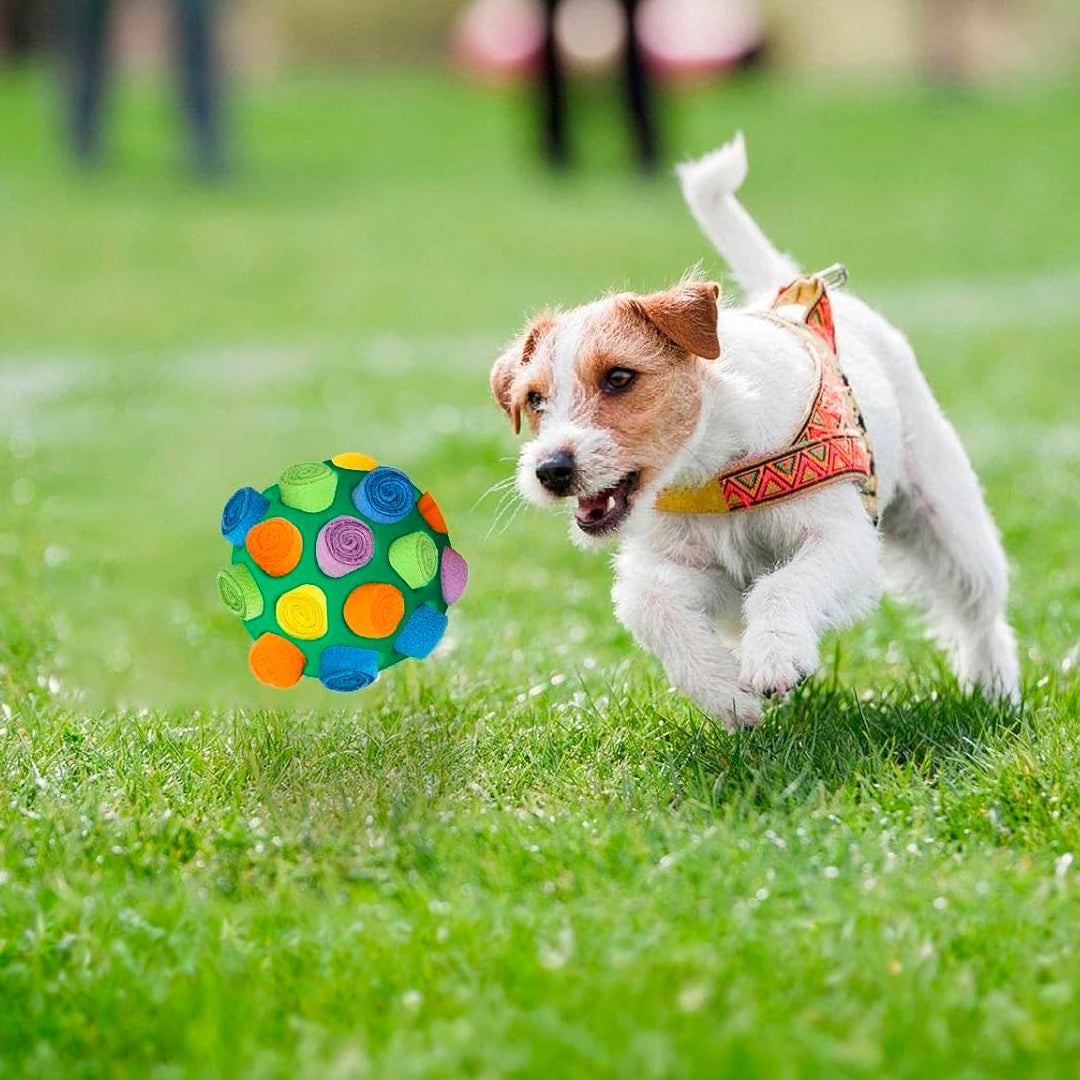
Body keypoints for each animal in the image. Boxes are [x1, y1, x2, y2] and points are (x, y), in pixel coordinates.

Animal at [490, 132, 1019, 725]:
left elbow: (782, 586)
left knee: (980, 611)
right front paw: (726, 692)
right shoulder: (697, 568)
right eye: (534, 399)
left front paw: (773, 658)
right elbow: (649, 604)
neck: (714, 467)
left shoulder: (841, 540)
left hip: (951, 522)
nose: (550, 469)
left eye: (619, 377)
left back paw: (994, 688)